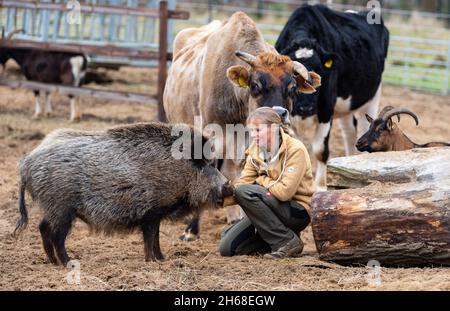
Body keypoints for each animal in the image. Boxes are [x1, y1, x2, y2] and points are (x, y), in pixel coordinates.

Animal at [276, 4, 388, 190]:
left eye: (320, 72)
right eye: (291, 76)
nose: (306, 108)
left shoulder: (327, 107)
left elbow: (320, 150)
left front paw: (320, 186)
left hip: (373, 95)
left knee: (364, 127)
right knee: (350, 132)